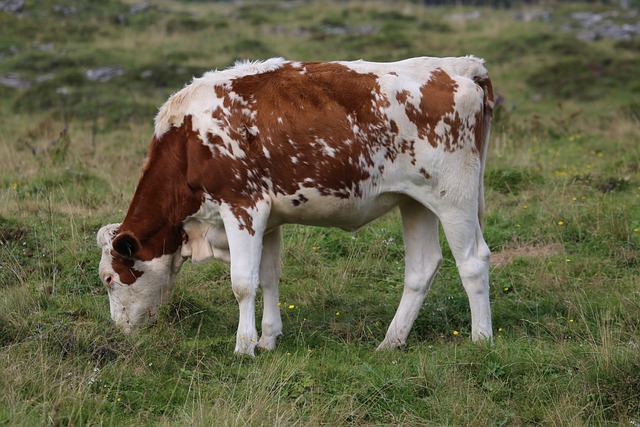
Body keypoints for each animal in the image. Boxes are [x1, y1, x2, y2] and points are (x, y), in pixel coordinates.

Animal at [96, 56, 496, 358]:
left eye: (109, 279)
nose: (120, 328)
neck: (189, 141)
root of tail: (458, 66)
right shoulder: (269, 220)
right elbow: (269, 276)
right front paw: (268, 339)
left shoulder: (242, 206)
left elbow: (243, 283)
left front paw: (244, 347)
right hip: (416, 201)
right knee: (422, 267)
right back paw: (391, 341)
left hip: (453, 196)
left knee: (473, 262)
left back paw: (481, 341)